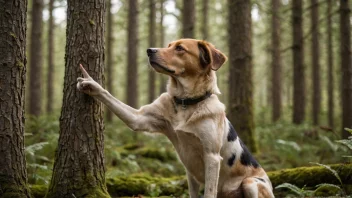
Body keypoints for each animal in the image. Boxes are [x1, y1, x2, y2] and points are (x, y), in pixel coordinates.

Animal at [77, 39, 276, 198]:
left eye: (180, 48)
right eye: (168, 45)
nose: (149, 50)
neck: (186, 103)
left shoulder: (212, 157)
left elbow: (209, 192)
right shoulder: (139, 118)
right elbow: (109, 97)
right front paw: (91, 84)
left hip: (250, 183)